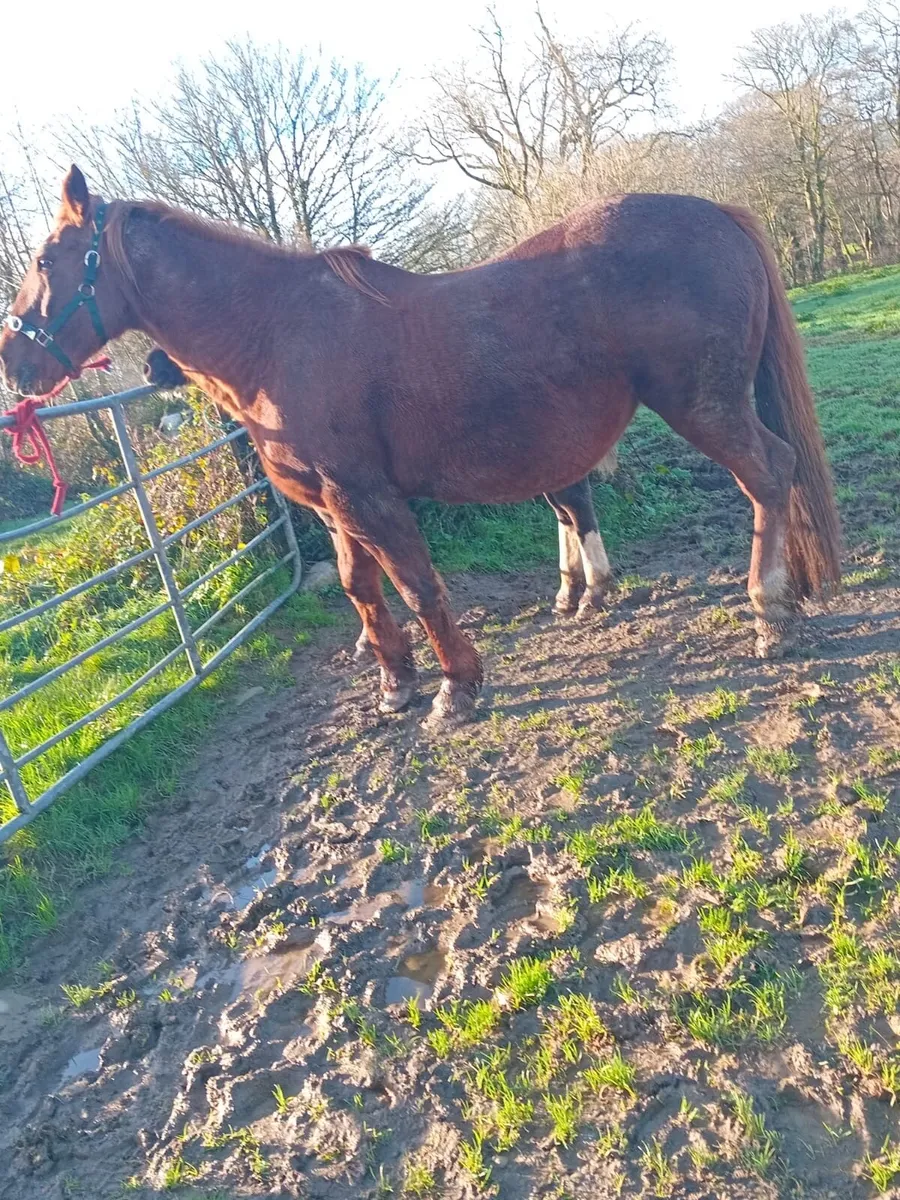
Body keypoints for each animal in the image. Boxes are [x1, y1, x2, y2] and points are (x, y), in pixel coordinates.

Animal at [1, 167, 842, 727]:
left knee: (769, 475)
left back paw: (770, 612)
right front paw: (394, 684)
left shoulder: (368, 496)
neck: (274, 332)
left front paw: (456, 688)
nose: (14, 361)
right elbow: (360, 590)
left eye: (44, 262)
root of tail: (718, 213)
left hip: (705, 406)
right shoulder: (334, 505)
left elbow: (418, 587)